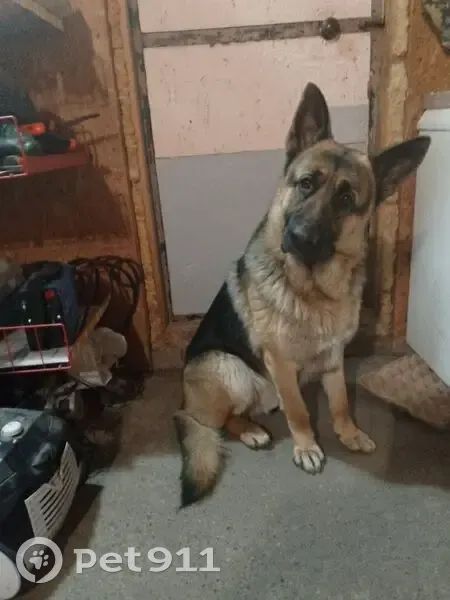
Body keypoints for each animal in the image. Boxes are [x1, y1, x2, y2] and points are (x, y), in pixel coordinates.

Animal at [173, 82, 431, 508]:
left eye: (346, 199)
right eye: (306, 183)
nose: (300, 238)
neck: (312, 291)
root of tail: (184, 403)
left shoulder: (334, 357)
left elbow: (340, 403)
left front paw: (348, 434)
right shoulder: (280, 361)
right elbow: (298, 411)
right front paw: (307, 447)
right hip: (229, 368)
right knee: (220, 420)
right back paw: (251, 430)